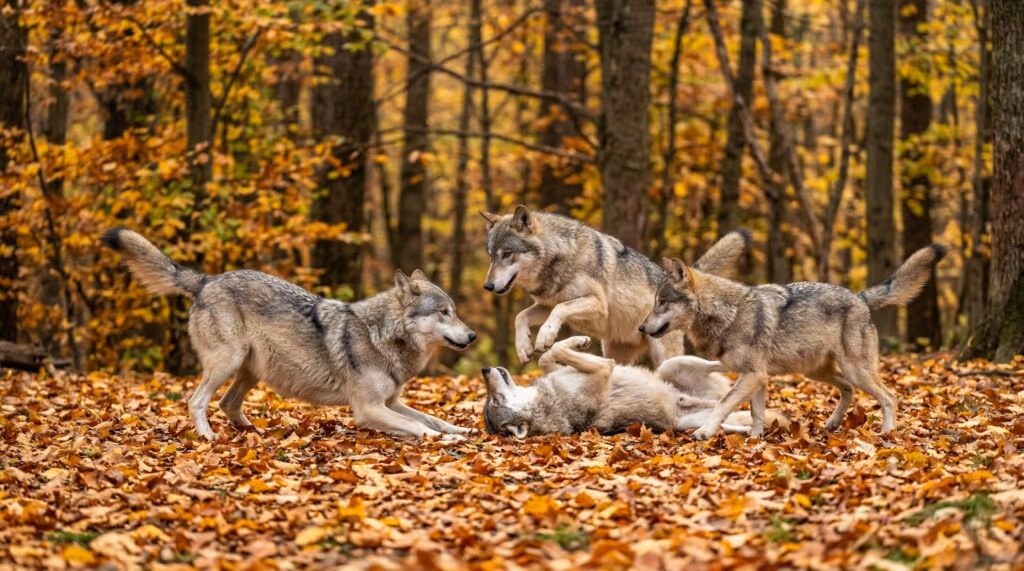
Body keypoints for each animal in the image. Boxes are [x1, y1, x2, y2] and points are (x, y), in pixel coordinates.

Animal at [101, 228, 477, 440]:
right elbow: (421, 427)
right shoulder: (369, 409)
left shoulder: (392, 402)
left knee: (227, 404)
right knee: (197, 401)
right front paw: (444, 440)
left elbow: (432, 417)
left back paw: (253, 433)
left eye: (455, 311)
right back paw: (208, 437)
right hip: (228, 363)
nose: (472, 335)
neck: (381, 335)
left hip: (251, 371)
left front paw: (462, 429)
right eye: (443, 313)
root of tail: (208, 280)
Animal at [480, 205, 750, 366]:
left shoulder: (596, 304)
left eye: (507, 254)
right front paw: (524, 348)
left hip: (662, 354)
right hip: (612, 352)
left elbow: (559, 310)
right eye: (491, 256)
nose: (488, 286)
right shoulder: (544, 305)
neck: (560, 257)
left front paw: (544, 338)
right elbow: (520, 316)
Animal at [481, 336, 781, 437]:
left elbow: (548, 354)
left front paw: (578, 340)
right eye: (495, 402)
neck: (547, 402)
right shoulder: (604, 368)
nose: (484, 369)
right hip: (688, 418)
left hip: (671, 366)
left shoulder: (558, 369)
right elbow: (560, 351)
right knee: (728, 410)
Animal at [639, 244, 948, 440]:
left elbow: (723, 405)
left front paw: (705, 432)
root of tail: (860, 297)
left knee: (889, 397)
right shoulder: (757, 378)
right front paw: (755, 440)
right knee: (848, 390)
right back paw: (833, 424)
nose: (641, 327)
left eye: (662, 302)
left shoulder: (752, 375)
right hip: (817, 372)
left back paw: (887, 433)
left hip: (854, 370)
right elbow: (757, 413)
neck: (729, 312)